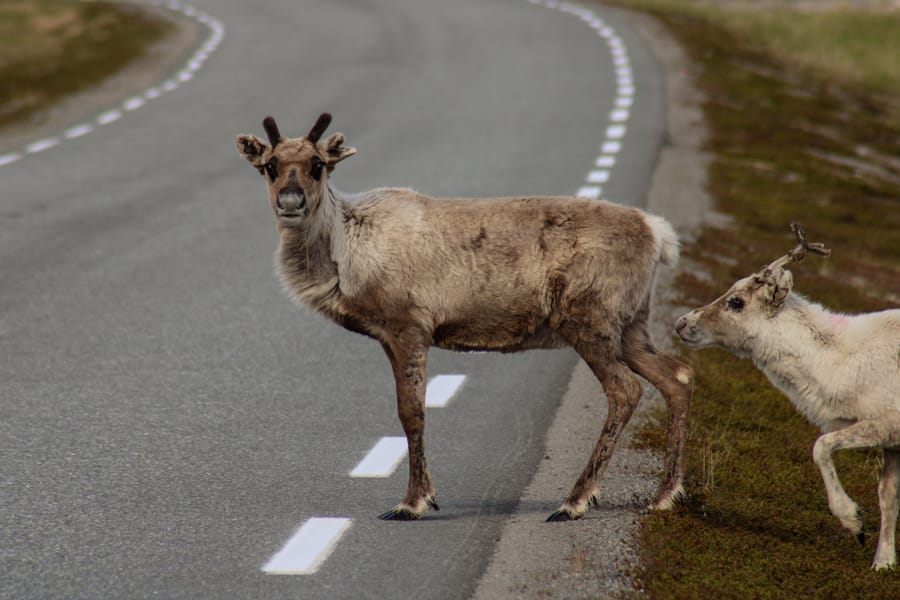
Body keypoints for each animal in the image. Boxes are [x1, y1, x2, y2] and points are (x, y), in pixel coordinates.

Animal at [236, 112, 692, 520]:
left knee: (625, 389)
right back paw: (663, 495)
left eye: (317, 166)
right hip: (631, 325)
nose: (290, 201)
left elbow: (411, 412)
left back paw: (576, 500)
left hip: (588, 320)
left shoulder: (408, 325)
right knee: (677, 375)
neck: (344, 255)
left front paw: (413, 501)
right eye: (271, 166)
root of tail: (658, 234)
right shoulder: (387, 336)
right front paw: (422, 496)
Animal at [680, 224, 896, 568]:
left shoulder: (885, 424)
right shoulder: (891, 444)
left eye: (737, 302)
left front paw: (854, 523)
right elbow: (887, 496)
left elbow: (820, 446)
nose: (682, 323)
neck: (837, 362)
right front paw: (883, 564)